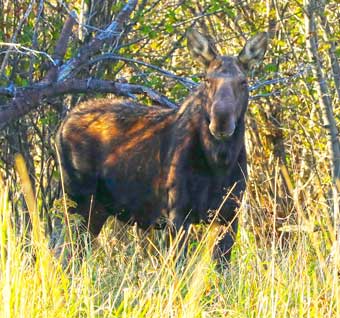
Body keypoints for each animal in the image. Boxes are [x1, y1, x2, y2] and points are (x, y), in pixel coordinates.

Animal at [56, 29, 268, 260]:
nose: (221, 121)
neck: (219, 161)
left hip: (99, 208)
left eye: (243, 81)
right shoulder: (178, 213)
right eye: (206, 80)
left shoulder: (229, 216)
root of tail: (63, 124)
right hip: (77, 198)